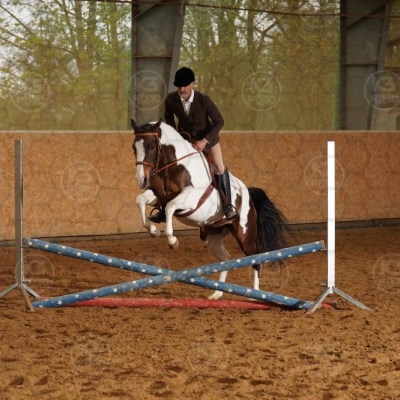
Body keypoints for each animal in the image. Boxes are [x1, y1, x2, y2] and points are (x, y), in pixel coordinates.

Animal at [131, 119, 288, 300]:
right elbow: (140, 200)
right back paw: (217, 293)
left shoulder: (191, 197)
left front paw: (172, 241)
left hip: (245, 235)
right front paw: (154, 230)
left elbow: (170, 207)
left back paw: (254, 295)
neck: (174, 165)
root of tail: (248, 193)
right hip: (214, 236)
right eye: (134, 147)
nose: (141, 180)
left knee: (256, 259)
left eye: (151, 146)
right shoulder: (158, 195)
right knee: (225, 259)